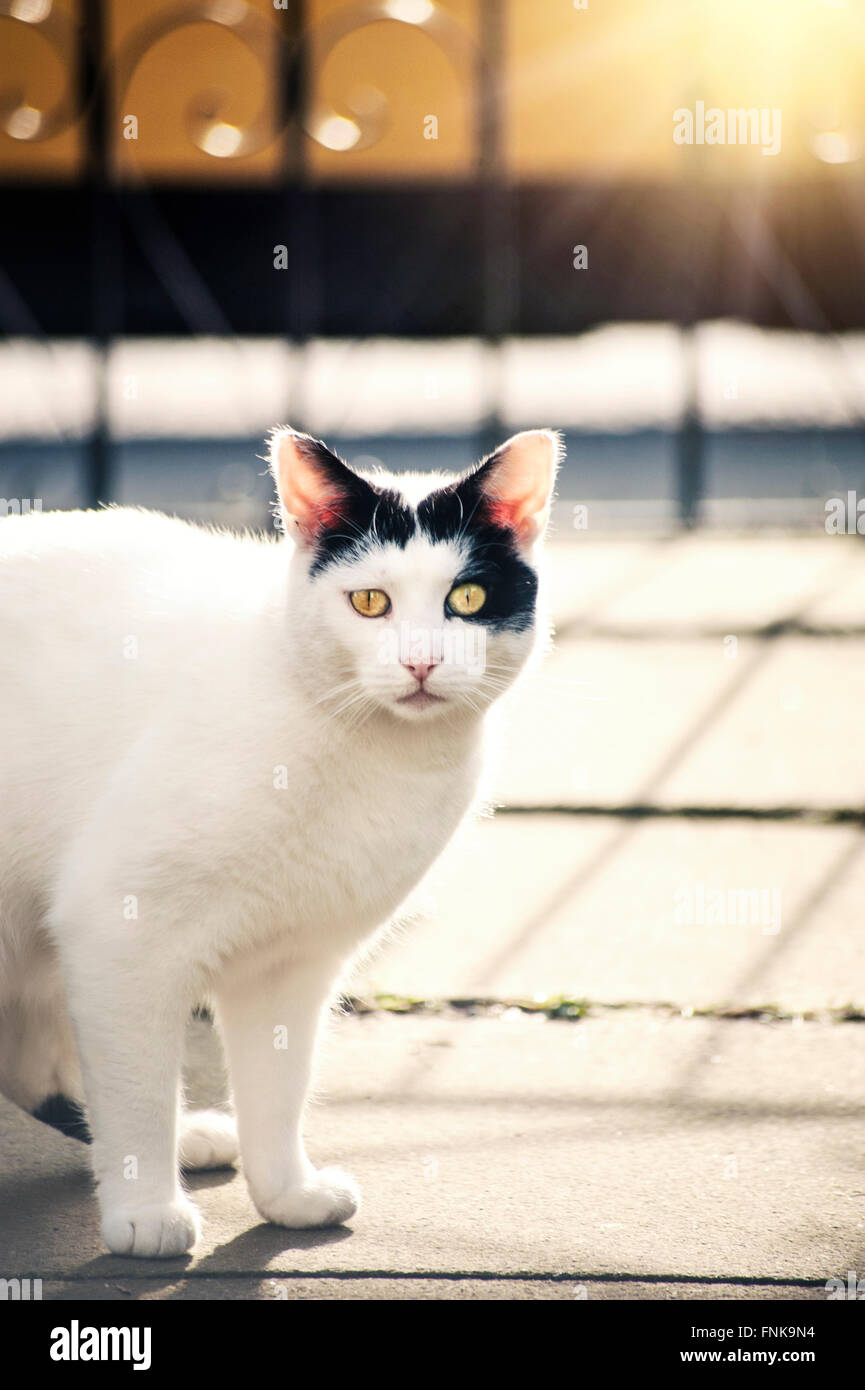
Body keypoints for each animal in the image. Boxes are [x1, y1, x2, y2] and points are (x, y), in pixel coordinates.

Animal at [0, 425, 561, 1262]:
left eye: (466, 599)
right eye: (369, 601)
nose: (421, 662)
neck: (375, 761)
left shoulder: (290, 962)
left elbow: (278, 1085)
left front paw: (286, 1196)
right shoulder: (118, 931)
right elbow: (136, 1087)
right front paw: (145, 1210)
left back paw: (192, 1135)